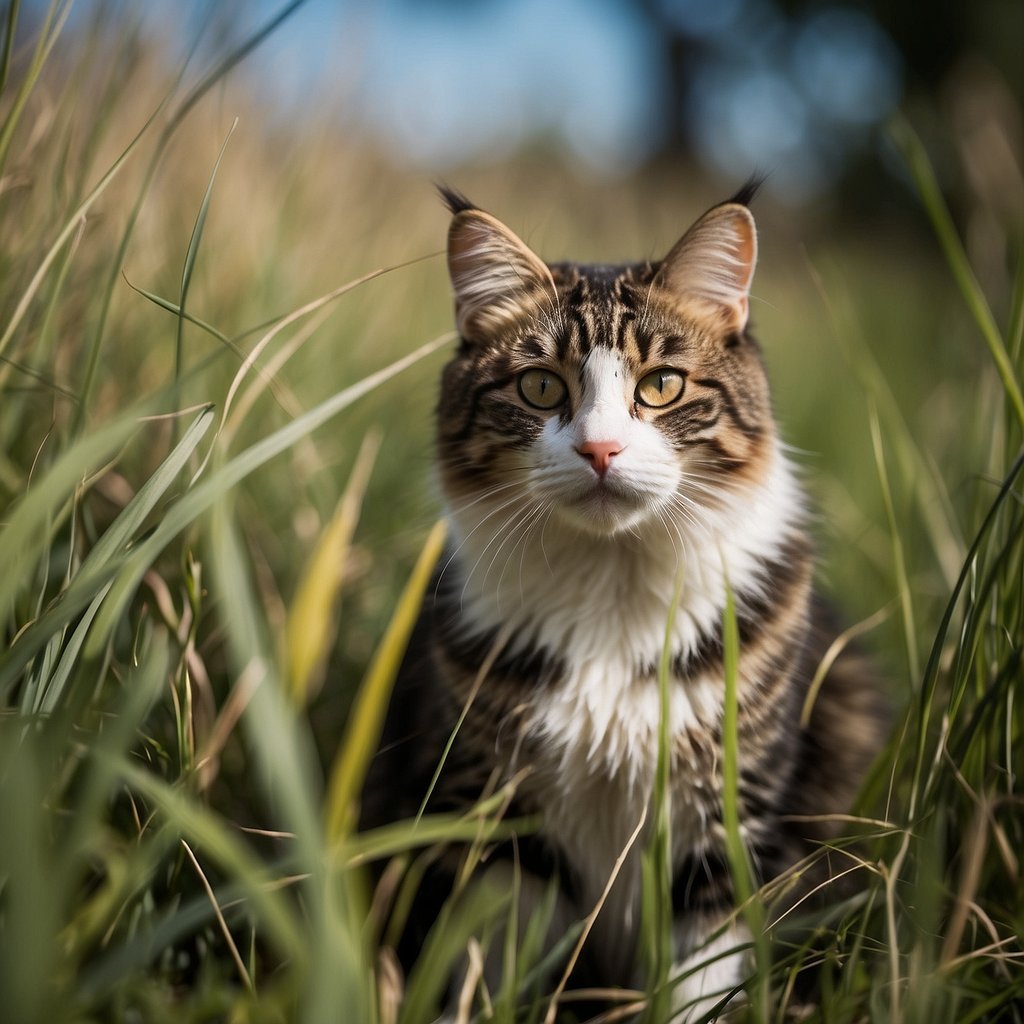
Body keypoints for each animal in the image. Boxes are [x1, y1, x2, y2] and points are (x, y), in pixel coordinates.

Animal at [362, 182, 888, 1015]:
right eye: (541, 385)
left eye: (662, 385)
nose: (600, 450)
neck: (611, 587)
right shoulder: (505, 824)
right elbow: (506, 969)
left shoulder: (723, 825)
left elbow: (701, 984)